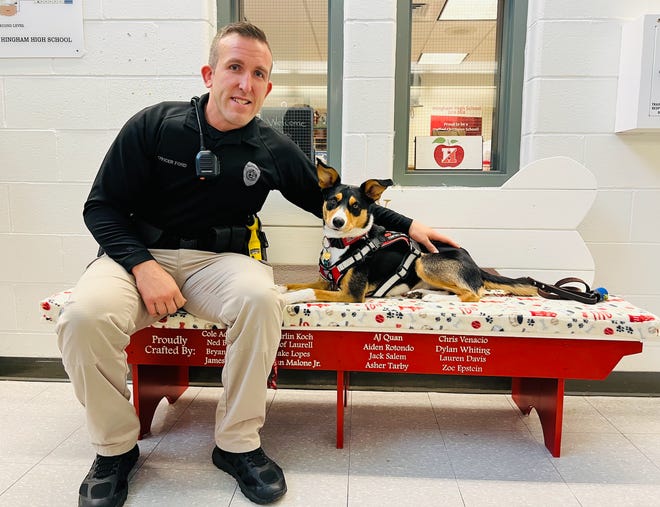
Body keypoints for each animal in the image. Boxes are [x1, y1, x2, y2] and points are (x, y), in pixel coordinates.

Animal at [282, 163, 540, 304]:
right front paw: (282, 288)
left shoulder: (351, 294)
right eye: (332, 202)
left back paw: (433, 297)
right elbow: (297, 284)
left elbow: (308, 291)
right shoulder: (325, 282)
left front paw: (286, 298)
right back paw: (421, 294)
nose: (337, 221)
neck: (346, 243)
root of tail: (473, 262)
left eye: (355, 206)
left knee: (474, 293)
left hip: (423, 262)